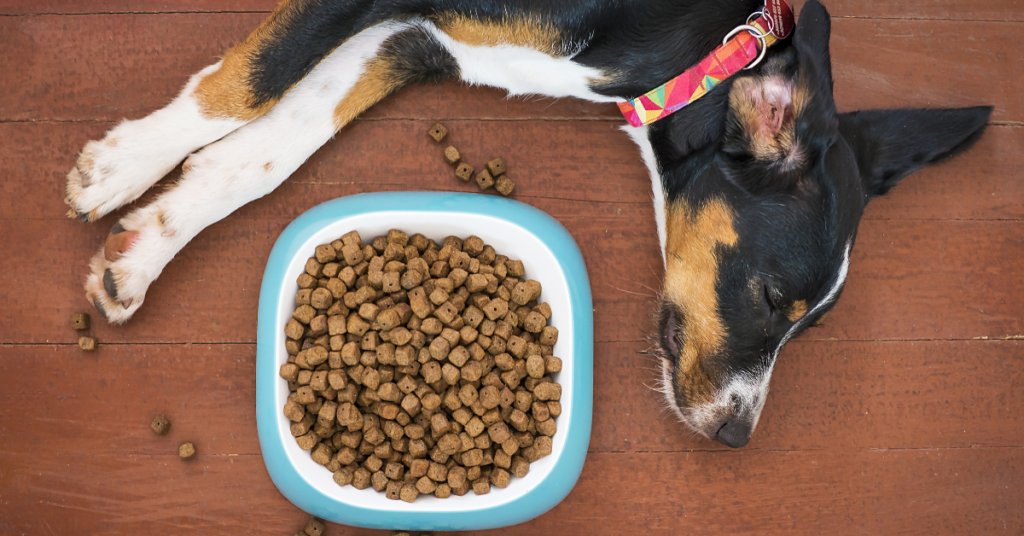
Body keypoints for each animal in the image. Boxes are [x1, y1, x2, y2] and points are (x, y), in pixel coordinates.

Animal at [66, 0, 991, 446]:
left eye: (811, 328)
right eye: (769, 298)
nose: (735, 436)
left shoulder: (416, 40)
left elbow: (272, 146)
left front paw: (149, 242)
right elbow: (251, 80)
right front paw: (121, 166)